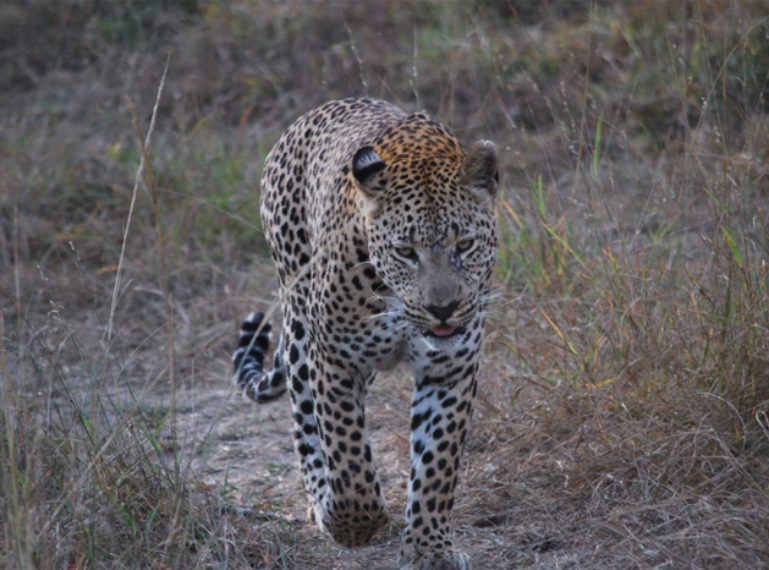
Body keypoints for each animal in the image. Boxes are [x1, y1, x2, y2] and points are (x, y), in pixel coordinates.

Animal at [232, 97, 498, 568]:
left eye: (464, 245)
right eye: (405, 252)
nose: (442, 309)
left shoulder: (451, 368)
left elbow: (437, 462)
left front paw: (429, 548)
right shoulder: (335, 361)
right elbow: (349, 456)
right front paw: (351, 524)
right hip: (300, 330)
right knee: (305, 423)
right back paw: (321, 500)